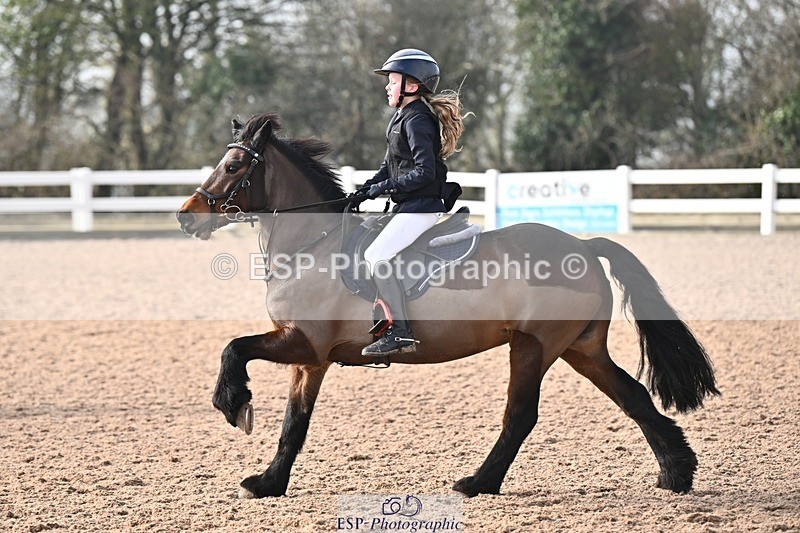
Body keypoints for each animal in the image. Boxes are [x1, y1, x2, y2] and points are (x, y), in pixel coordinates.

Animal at [176, 113, 719, 499]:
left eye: (233, 166)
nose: (186, 217)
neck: (312, 245)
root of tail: (584, 245)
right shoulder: (308, 359)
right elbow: (295, 422)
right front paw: (269, 483)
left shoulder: (303, 343)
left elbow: (234, 349)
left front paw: (234, 405)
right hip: (580, 348)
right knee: (633, 397)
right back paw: (676, 474)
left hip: (533, 346)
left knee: (520, 416)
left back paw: (478, 484)